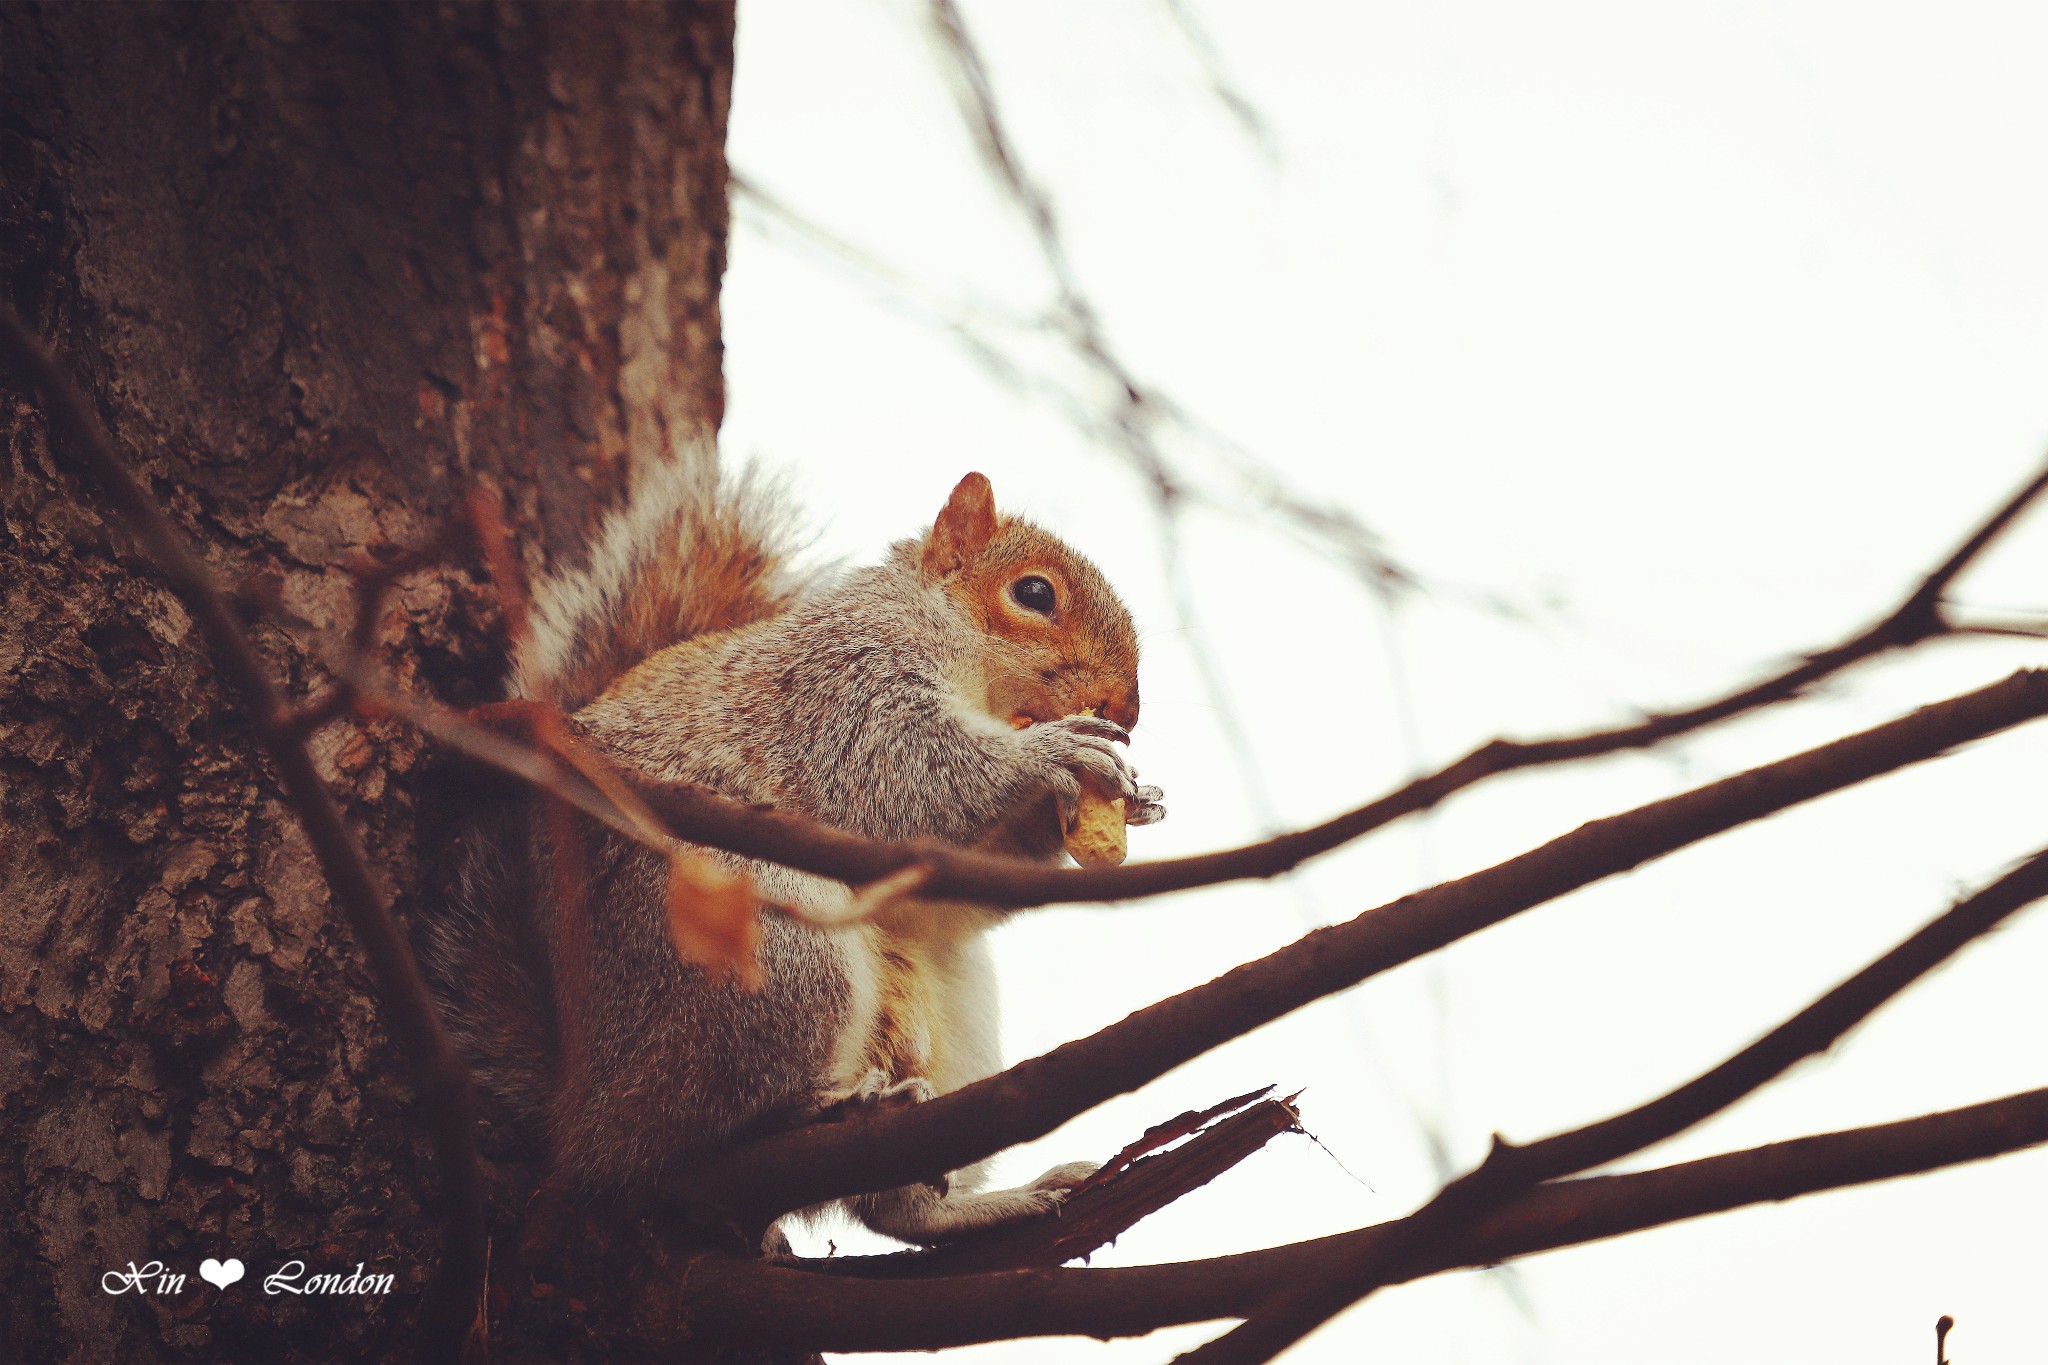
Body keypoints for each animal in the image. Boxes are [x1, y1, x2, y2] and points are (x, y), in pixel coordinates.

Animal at [423, 462, 1163, 1252]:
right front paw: (1053, 752)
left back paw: (986, 1199)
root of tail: (591, 1117)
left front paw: (1129, 803)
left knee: (893, 1203)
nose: (1125, 709)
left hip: (951, 1013)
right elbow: (904, 780)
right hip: (770, 956)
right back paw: (819, 1108)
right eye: (1034, 594)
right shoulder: (846, 683)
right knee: (710, 1129)